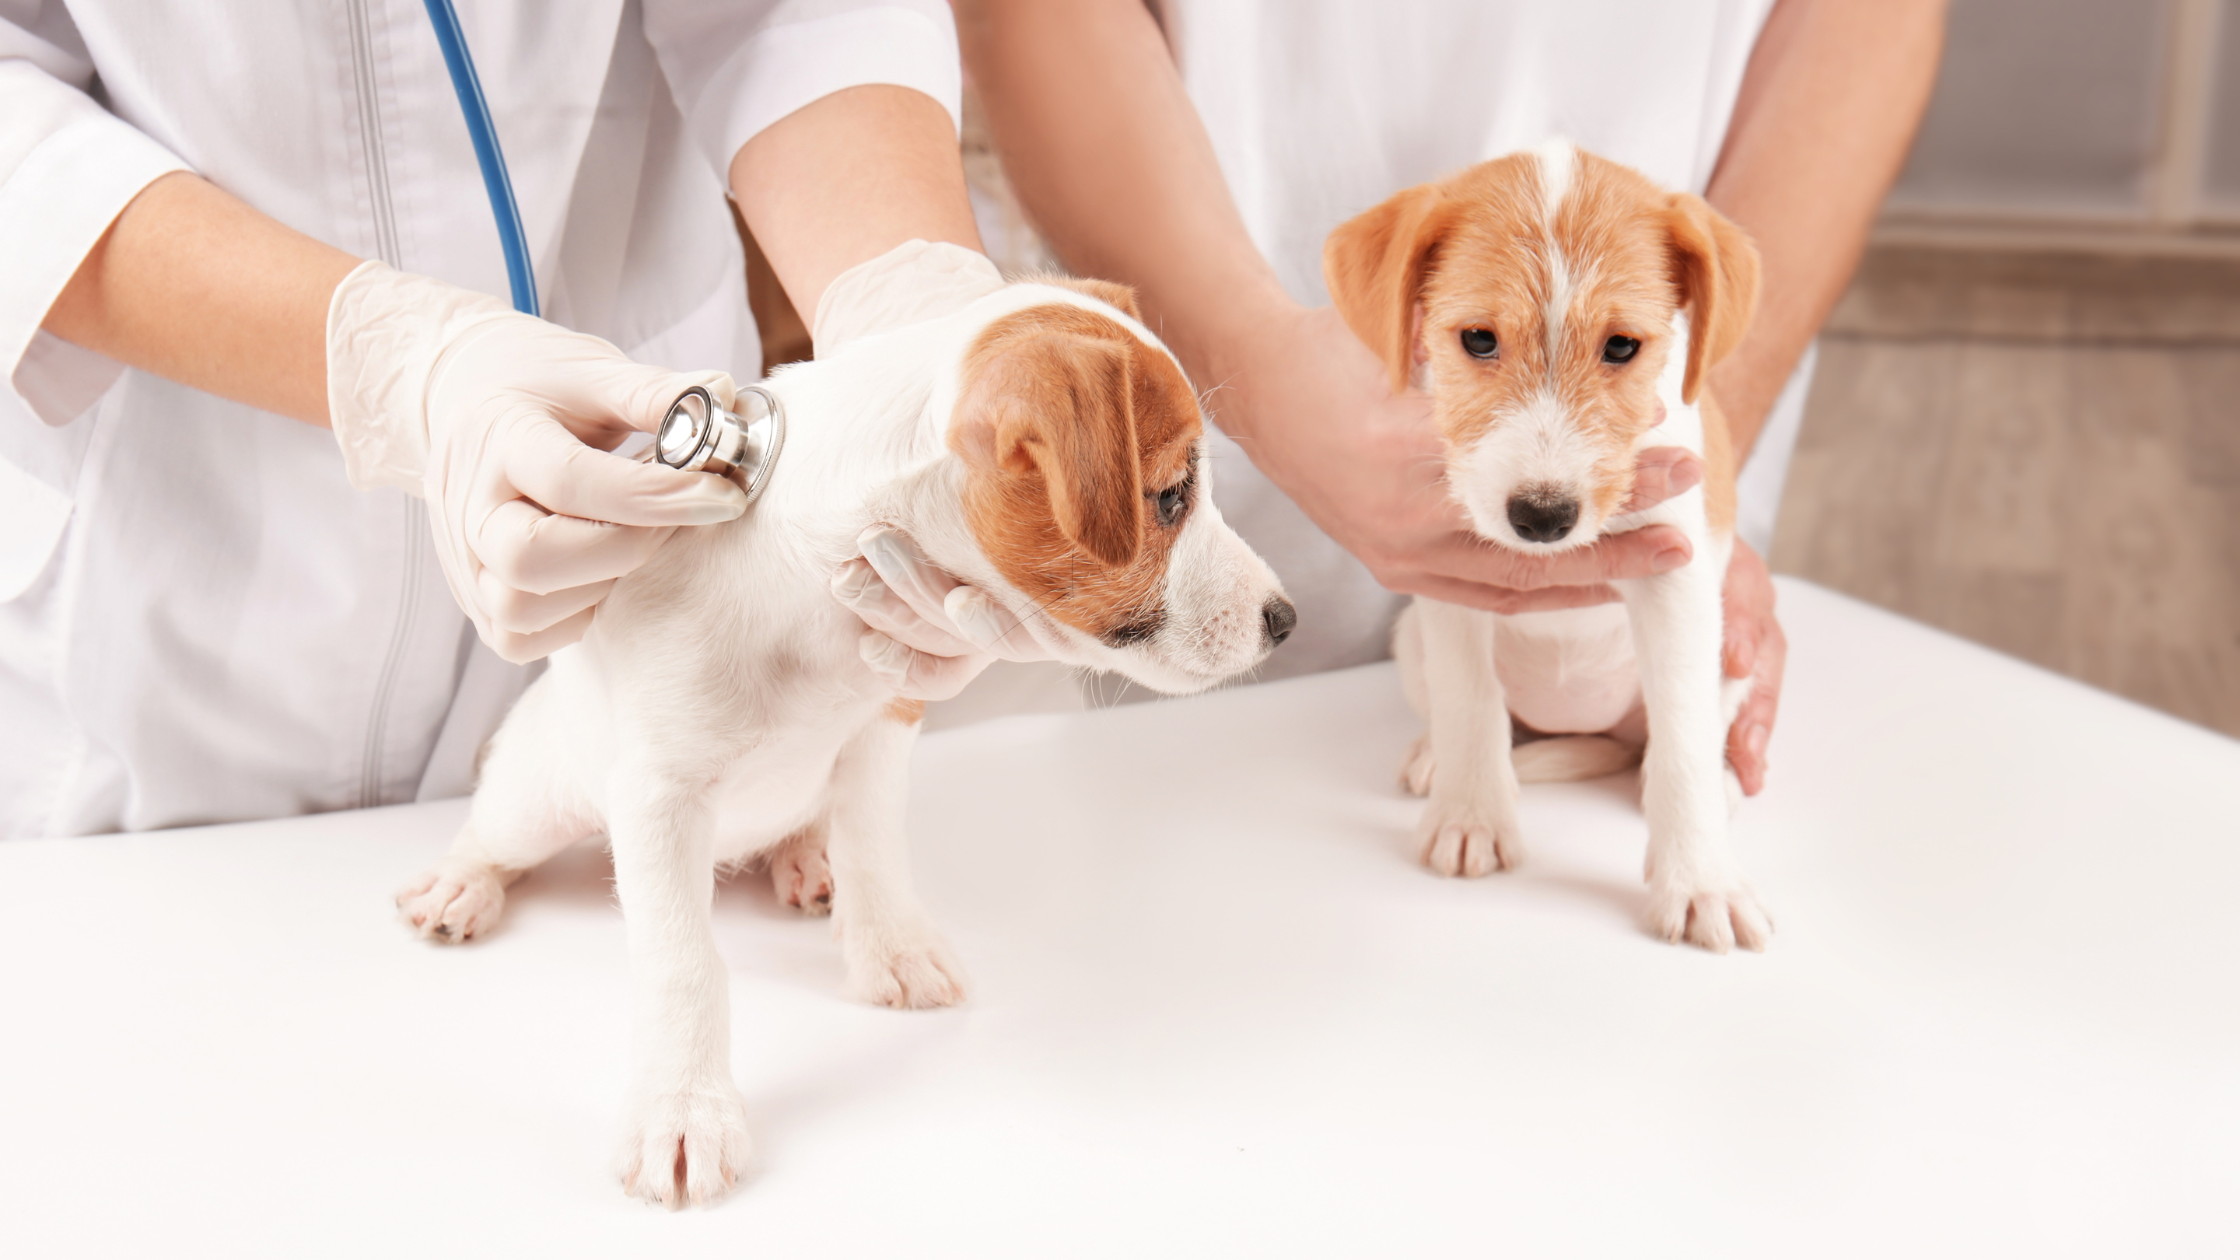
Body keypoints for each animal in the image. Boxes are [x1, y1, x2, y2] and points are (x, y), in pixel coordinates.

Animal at [394, 279, 1290, 1201]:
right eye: (1171, 497)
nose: (1284, 621)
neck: (810, 608)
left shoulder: (884, 725)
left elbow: (872, 848)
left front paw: (890, 943)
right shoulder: (657, 799)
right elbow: (684, 960)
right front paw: (683, 1105)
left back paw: (804, 860)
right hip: (536, 798)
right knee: (491, 835)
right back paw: (460, 885)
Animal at [1317, 139, 1774, 950]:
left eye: (1622, 346)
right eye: (1477, 338)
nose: (1541, 518)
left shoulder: (1678, 582)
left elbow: (1682, 738)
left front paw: (1700, 880)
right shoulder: (1448, 576)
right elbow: (1470, 698)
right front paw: (1471, 815)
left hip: (1732, 658)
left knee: (1670, 743)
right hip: (1411, 642)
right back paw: (1438, 759)